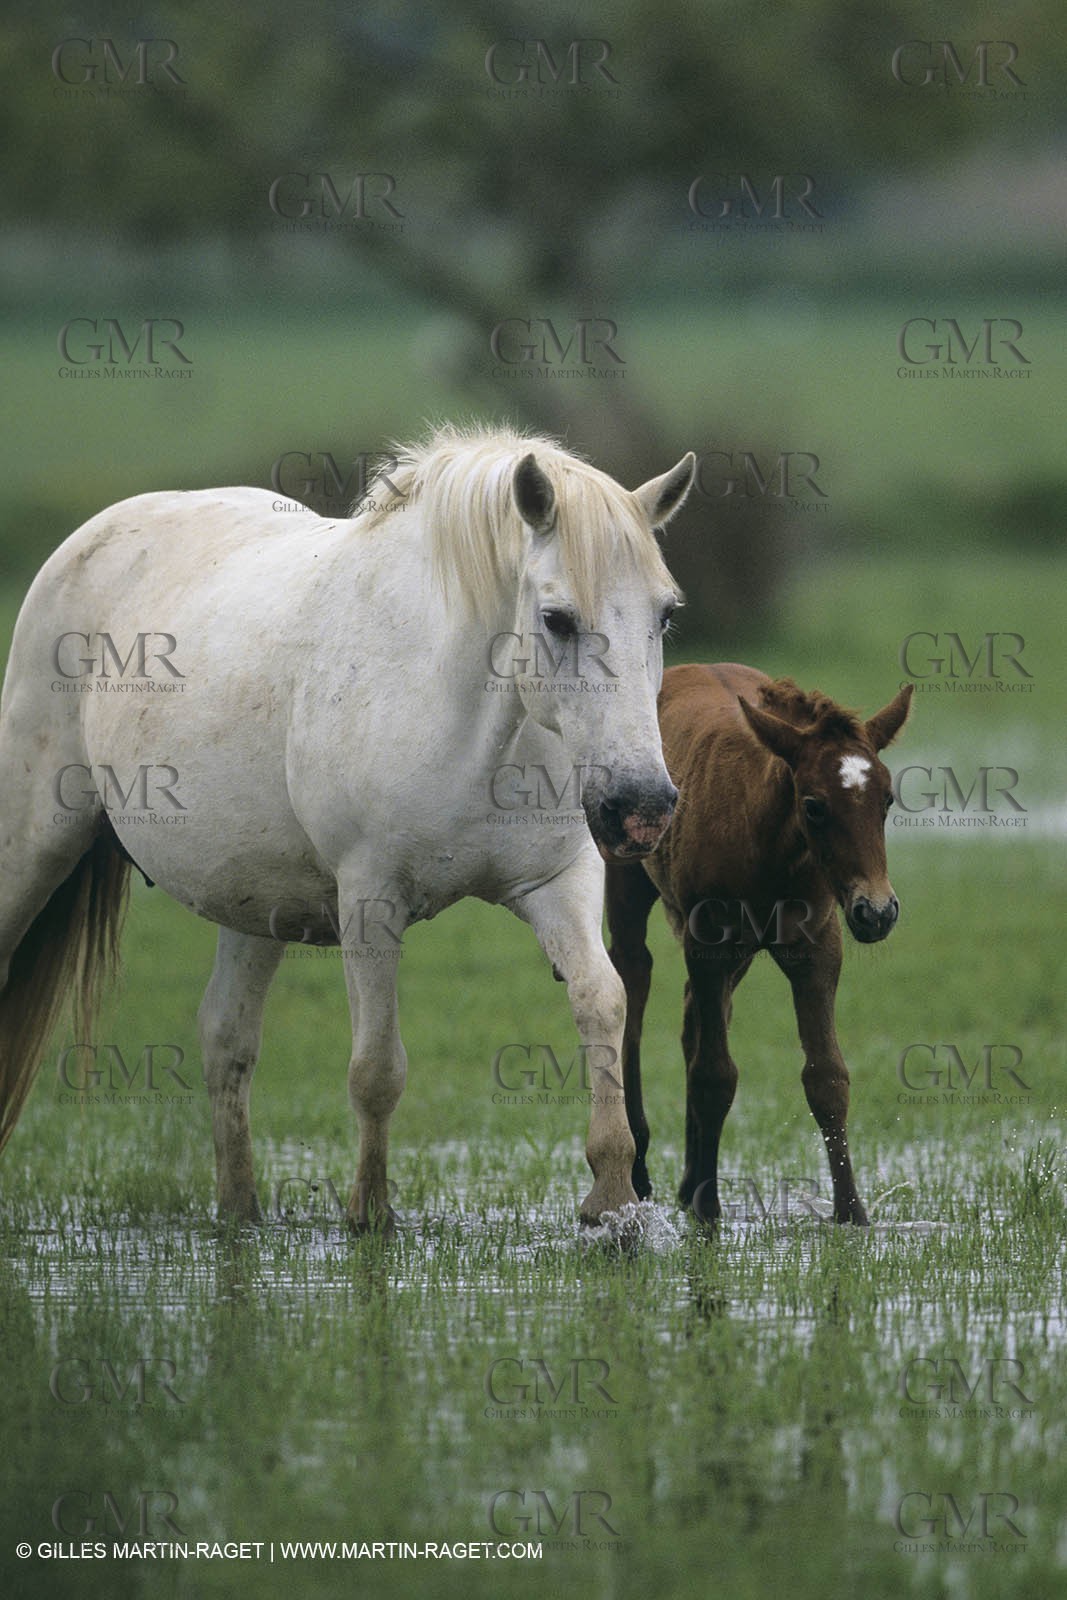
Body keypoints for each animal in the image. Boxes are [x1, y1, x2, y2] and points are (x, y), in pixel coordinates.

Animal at [0, 423, 696, 1230]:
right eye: (556, 619)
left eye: (665, 614)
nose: (640, 804)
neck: (464, 712)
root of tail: (95, 534)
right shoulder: (370, 899)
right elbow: (376, 1069)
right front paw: (369, 1215)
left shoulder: (556, 883)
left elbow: (601, 1001)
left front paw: (614, 1201)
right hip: (33, 845)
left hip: (254, 905)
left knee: (225, 1040)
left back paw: (241, 1213)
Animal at [605, 663, 913, 1226]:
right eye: (813, 805)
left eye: (886, 798)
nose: (877, 910)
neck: (768, 843)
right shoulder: (708, 941)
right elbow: (715, 1074)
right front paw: (709, 1211)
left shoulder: (818, 946)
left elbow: (827, 1076)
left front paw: (852, 1212)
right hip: (630, 879)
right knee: (632, 984)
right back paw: (640, 1168)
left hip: (740, 950)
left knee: (692, 1016)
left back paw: (688, 1177)